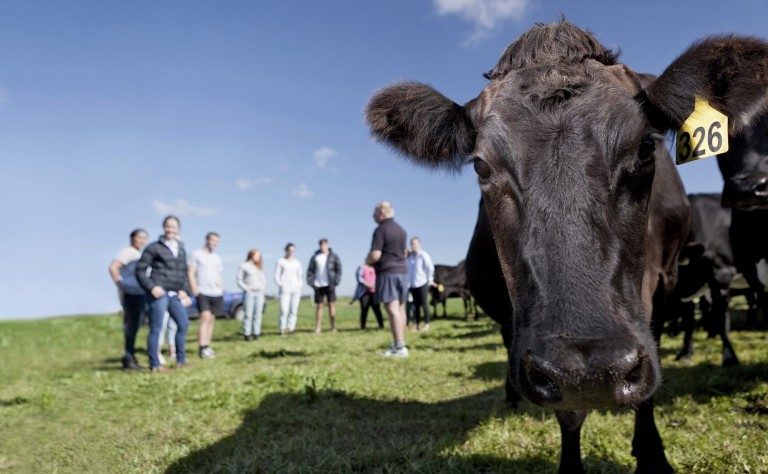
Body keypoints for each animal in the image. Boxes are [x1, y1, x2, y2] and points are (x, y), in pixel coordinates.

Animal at [366, 19, 768, 473]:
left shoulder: (664, 285)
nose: (593, 372)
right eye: (480, 165)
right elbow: (569, 411)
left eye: (648, 146)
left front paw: (652, 454)